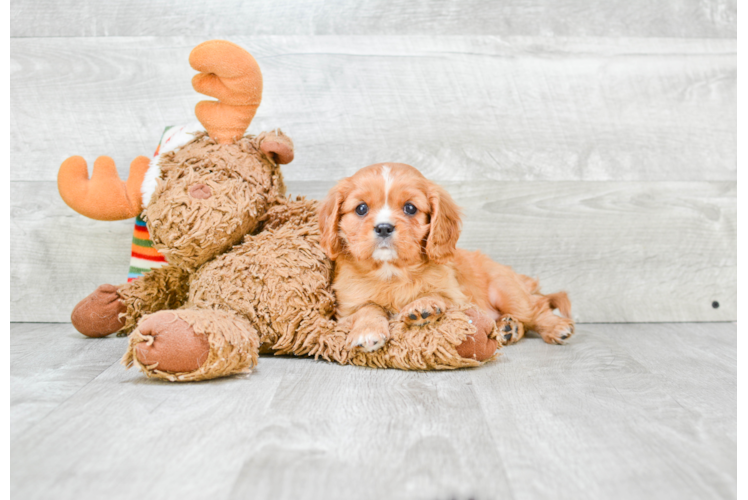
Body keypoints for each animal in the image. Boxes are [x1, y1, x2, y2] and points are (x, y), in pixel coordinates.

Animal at [318, 164, 572, 352]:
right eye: (361, 209)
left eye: (410, 208)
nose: (383, 227)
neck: (391, 271)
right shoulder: (346, 309)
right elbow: (367, 307)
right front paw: (367, 331)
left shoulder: (459, 298)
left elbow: (438, 295)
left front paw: (423, 305)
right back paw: (509, 329)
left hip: (506, 291)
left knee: (536, 308)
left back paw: (554, 327)